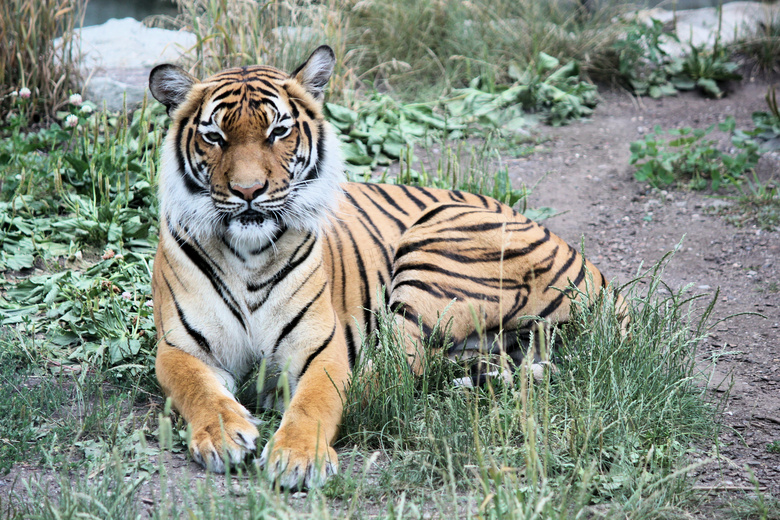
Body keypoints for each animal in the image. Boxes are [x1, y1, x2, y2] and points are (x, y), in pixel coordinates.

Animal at [148, 46, 628, 490]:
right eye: (215, 137)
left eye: (278, 131)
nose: (249, 191)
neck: (248, 251)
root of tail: (602, 278)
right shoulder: (179, 347)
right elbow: (198, 389)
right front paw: (223, 435)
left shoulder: (321, 347)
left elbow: (317, 400)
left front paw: (298, 457)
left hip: (436, 253)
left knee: (391, 376)